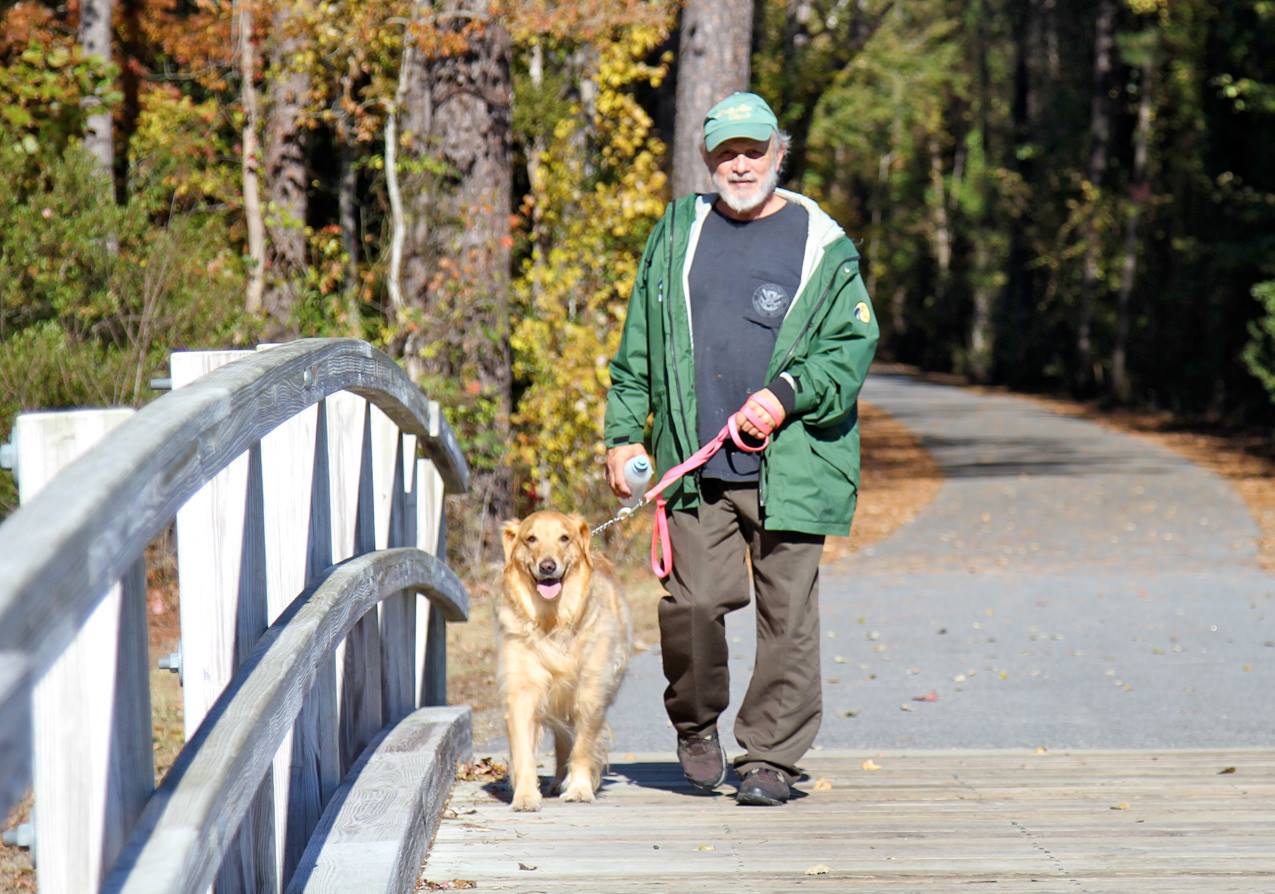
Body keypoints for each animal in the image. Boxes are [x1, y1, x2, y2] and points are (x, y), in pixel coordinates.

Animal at [498, 510, 632, 811]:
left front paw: (580, 788)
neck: (552, 619)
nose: (548, 566)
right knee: (562, 741)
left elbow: (582, 747)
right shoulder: (522, 690)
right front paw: (525, 796)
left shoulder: (591, 691)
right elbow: (523, 751)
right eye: (531, 538)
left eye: (564, 538)